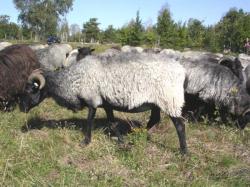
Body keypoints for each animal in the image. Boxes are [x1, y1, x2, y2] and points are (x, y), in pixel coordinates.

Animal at [20, 52, 188, 153]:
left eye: (30, 90)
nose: (21, 108)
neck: (72, 81)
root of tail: (182, 70)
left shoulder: (92, 101)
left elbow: (89, 122)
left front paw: (85, 142)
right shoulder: (107, 104)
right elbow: (112, 123)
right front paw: (121, 142)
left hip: (170, 100)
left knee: (180, 125)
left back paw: (183, 153)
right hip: (157, 103)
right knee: (154, 119)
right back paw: (136, 136)